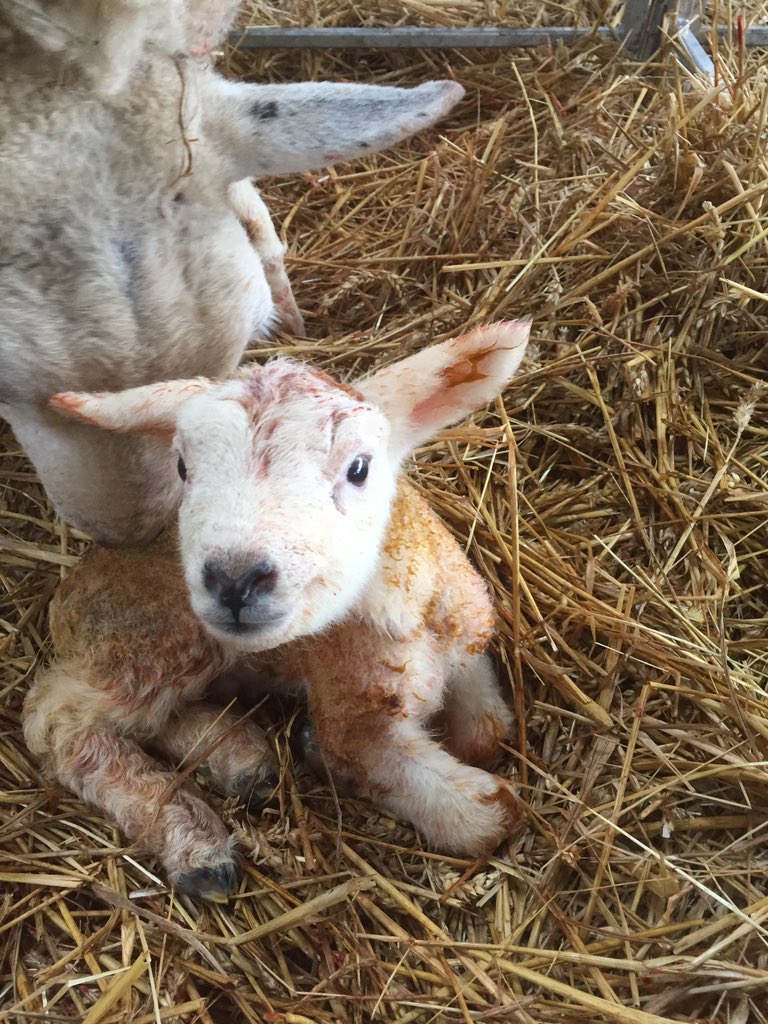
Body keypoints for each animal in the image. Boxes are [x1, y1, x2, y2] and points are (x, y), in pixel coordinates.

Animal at [23, 320, 530, 903]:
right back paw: (195, 843)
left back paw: (239, 759)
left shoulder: (469, 647)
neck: (414, 618)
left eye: (360, 468)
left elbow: (488, 732)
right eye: (183, 468)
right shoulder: (355, 723)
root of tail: (69, 591)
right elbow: (491, 815)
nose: (234, 579)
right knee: (59, 721)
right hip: (154, 637)